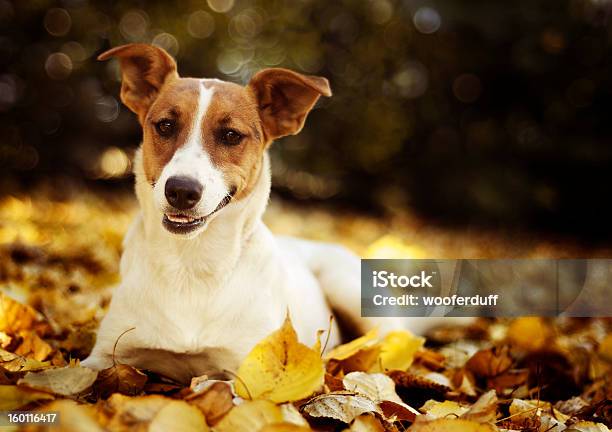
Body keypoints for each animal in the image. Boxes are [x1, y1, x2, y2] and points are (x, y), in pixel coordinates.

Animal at [83, 43, 462, 382]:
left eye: (230, 135)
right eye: (164, 126)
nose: (181, 190)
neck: (191, 265)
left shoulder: (252, 378)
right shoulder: (102, 357)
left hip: (351, 290)